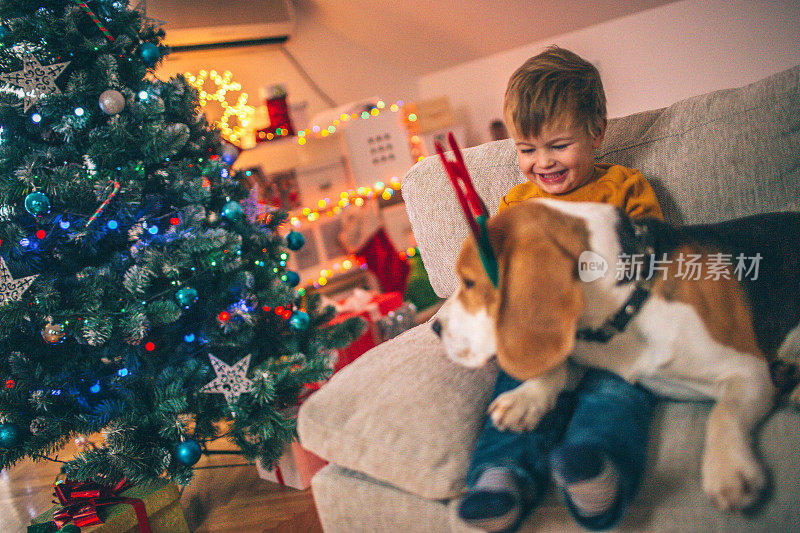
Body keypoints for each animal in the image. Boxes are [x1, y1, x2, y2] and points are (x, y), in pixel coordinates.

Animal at [434, 198, 800, 512]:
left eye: (469, 282)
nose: (435, 327)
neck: (627, 302)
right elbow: (557, 366)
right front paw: (526, 398)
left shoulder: (748, 371)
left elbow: (723, 413)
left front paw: (728, 469)